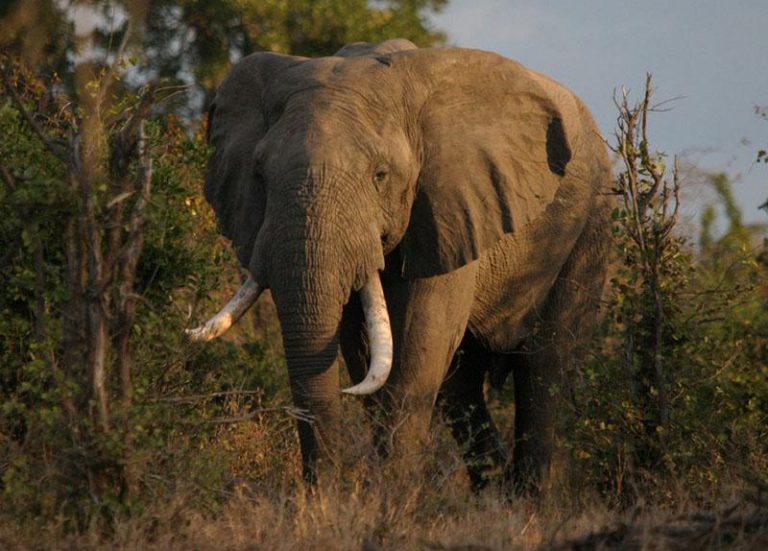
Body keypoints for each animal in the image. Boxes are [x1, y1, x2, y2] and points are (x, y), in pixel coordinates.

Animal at [186, 38, 612, 494]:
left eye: (380, 175)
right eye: (260, 175)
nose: (321, 493)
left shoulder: (448, 204)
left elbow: (415, 354)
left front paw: (390, 499)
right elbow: (364, 353)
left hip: (590, 224)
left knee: (544, 367)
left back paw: (526, 502)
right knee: (461, 387)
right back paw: (495, 494)